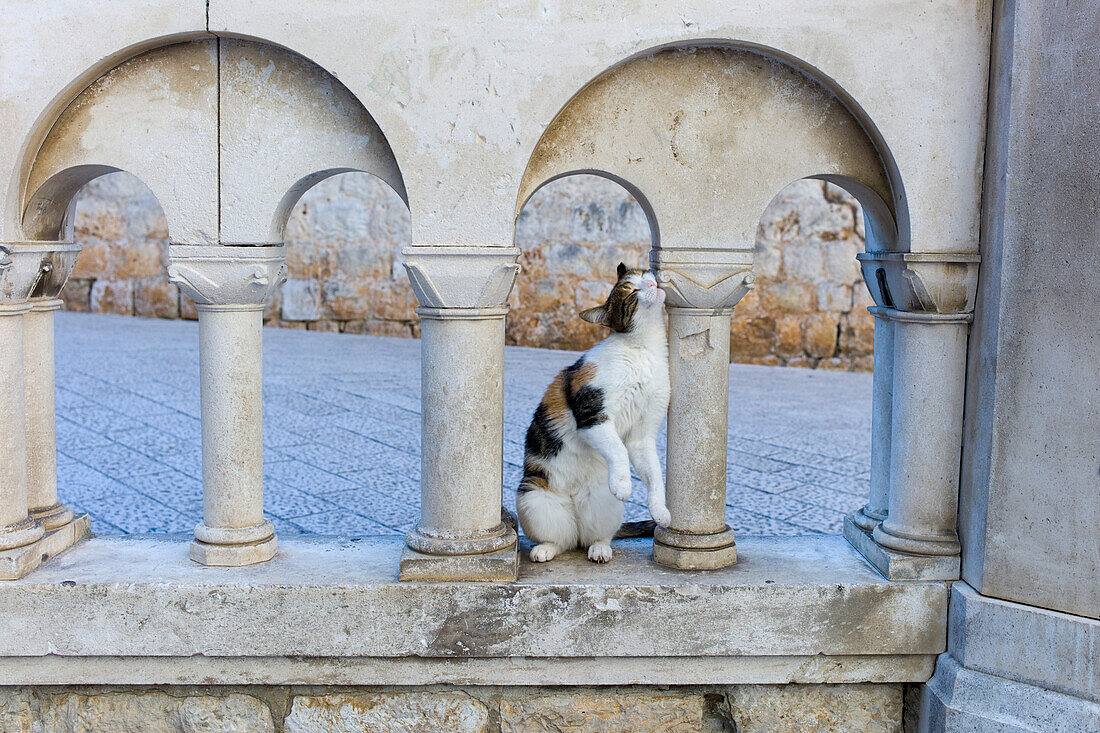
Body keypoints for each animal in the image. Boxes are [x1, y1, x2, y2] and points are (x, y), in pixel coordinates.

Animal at [514, 259, 668, 561]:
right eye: (631, 291)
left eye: (644, 274)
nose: (652, 282)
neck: (643, 349)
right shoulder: (591, 414)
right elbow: (618, 448)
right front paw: (623, 484)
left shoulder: (642, 435)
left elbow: (654, 472)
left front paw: (660, 510)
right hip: (532, 495)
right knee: (560, 539)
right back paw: (545, 549)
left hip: (603, 503)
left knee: (594, 537)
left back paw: (600, 549)